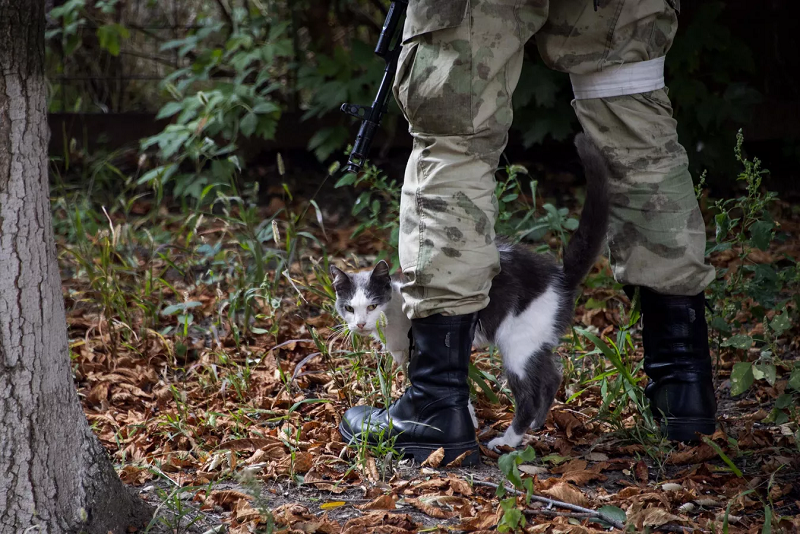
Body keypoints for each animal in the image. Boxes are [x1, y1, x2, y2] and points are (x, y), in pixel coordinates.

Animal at [328, 134, 608, 452]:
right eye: (349, 308)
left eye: (372, 306)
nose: (360, 324)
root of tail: (559, 277)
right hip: (537, 340)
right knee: (552, 377)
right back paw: (537, 423)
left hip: (517, 342)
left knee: (529, 394)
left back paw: (508, 439)